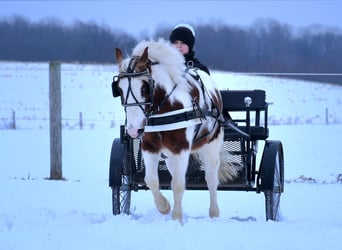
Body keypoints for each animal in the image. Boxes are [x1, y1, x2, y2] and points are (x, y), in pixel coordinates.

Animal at [113, 39, 236, 225]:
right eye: (118, 89)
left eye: (144, 88)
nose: (134, 130)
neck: (165, 106)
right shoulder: (150, 146)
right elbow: (151, 180)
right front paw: (164, 207)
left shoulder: (181, 148)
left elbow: (178, 184)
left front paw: (177, 219)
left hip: (210, 146)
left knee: (211, 179)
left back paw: (214, 213)